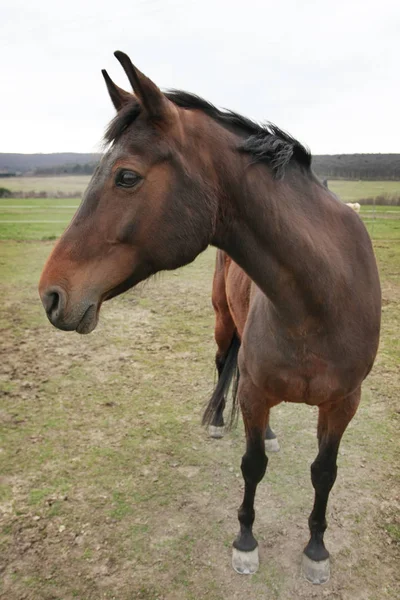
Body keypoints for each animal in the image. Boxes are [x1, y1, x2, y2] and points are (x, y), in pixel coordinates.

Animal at [39, 51, 380, 584]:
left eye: (127, 176)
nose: (51, 293)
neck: (320, 301)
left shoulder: (345, 403)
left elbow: (324, 473)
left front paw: (316, 550)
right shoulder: (256, 392)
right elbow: (252, 464)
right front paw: (245, 542)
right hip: (224, 324)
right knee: (222, 366)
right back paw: (222, 421)